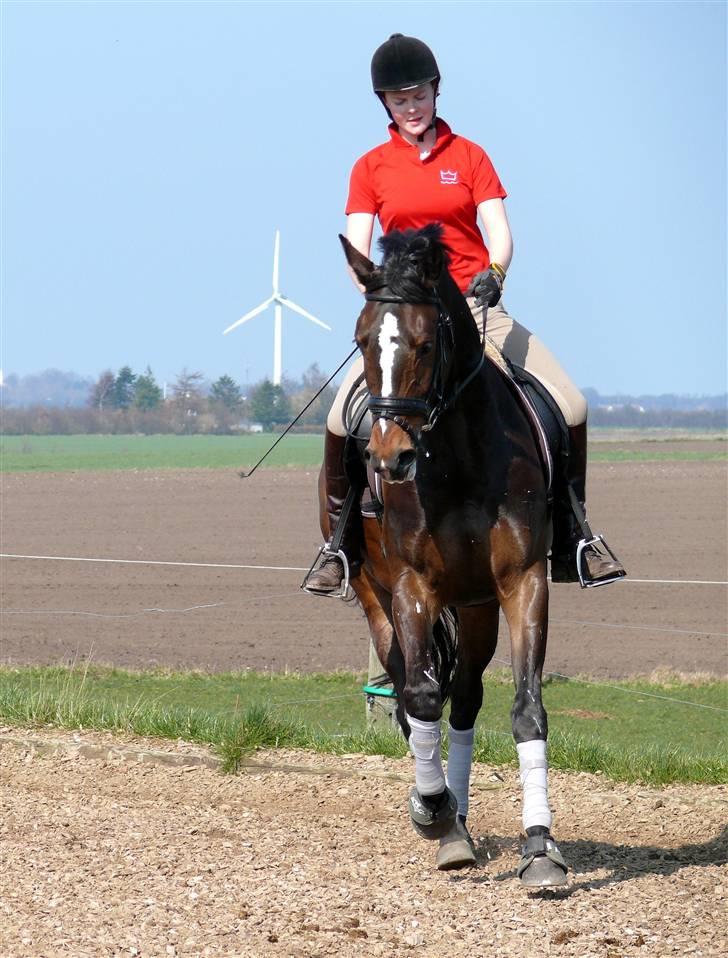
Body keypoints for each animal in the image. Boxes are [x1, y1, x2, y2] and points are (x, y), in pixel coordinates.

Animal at [320, 223, 568, 884]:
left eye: (427, 344)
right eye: (360, 341)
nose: (389, 459)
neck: (457, 457)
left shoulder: (523, 582)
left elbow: (525, 708)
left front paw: (541, 846)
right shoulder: (412, 587)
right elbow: (420, 696)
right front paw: (430, 811)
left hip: (477, 608)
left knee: (465, 700)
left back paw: (458, 817)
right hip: (376, 600)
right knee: (415, 697)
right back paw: (443, 816)